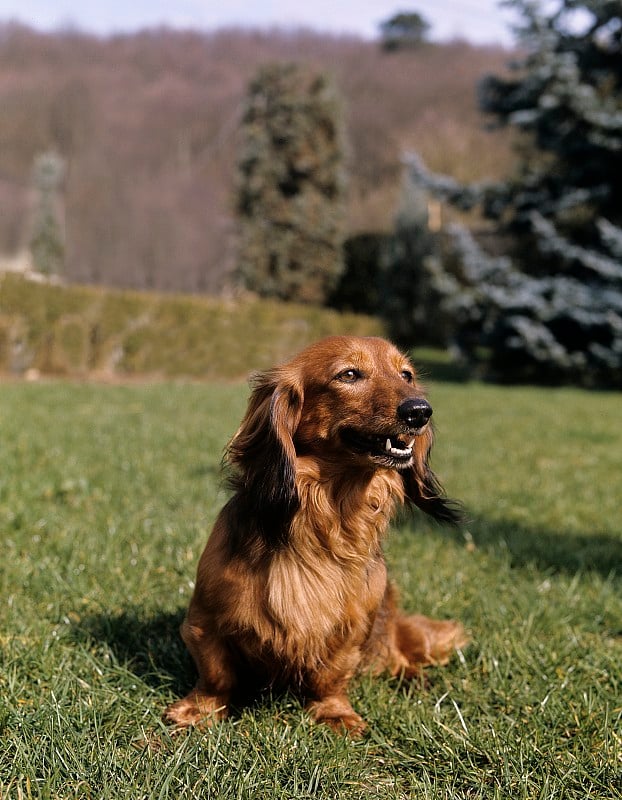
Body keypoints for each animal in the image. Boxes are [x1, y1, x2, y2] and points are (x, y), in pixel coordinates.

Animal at [166, 334, 468, 736]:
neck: (325, 519)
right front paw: (199, 710)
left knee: (395, 654)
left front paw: (335, 713)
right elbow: (216, 675)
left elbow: (332, 676)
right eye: (349, 374)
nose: (419, 411)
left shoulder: (351, 630)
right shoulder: (205, 621)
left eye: (406, 374)